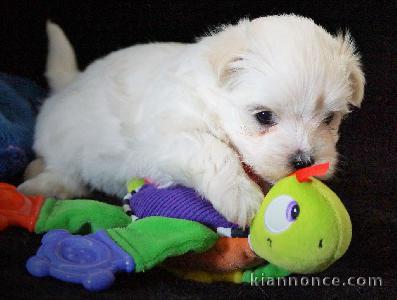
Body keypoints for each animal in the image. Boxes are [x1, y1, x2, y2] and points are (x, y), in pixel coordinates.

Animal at [19, 14, 366, 225]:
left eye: (330, 118)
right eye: (264, 116)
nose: (303, 161)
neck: (211, 99)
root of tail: (70, 84)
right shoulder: (164, 137)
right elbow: (212, 150)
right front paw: (241, 196)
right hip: (66, 144)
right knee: (65, 174)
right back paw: (37, 182)